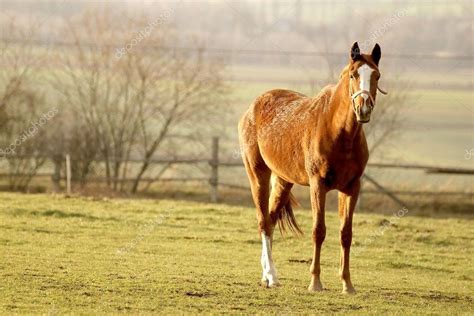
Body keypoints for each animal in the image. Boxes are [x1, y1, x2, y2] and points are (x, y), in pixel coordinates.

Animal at [239, 42, 386, 294]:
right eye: (353, 74)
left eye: (376, 75)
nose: (364, 108)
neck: (338, 132)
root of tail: (253, 107)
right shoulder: (318, 185)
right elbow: (319, 231)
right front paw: (315, 282)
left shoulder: (351, 187)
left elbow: (345, 234)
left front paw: (347, 284)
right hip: (257, 174)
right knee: (263, 222)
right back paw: (272, 276)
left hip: (283, 180)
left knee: (271, 218)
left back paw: (266, 275)